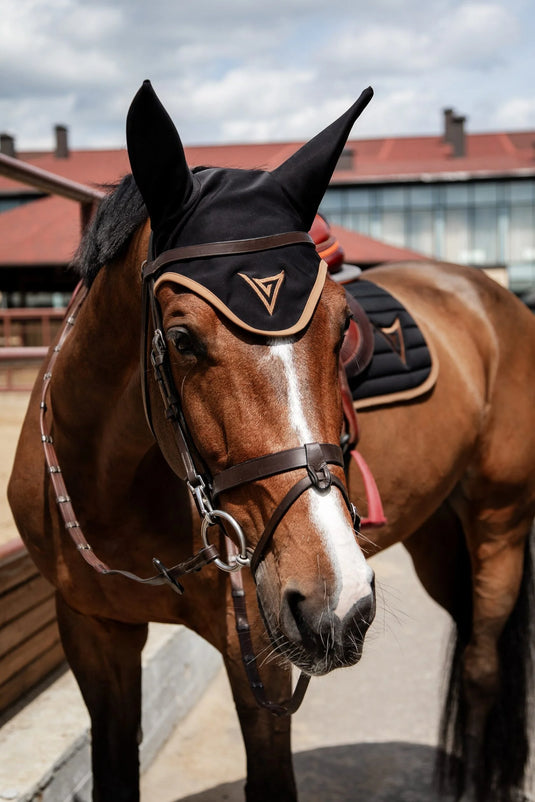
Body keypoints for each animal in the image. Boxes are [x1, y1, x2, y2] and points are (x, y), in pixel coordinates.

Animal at [8, 79, 535, 802]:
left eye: (341, 328)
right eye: (182, 338)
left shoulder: (257, 651)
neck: (111, 490)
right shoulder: (93, 635)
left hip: (498, 524)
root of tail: (492, 297)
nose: (337, 603)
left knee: (482, 668)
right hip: (438, 534)